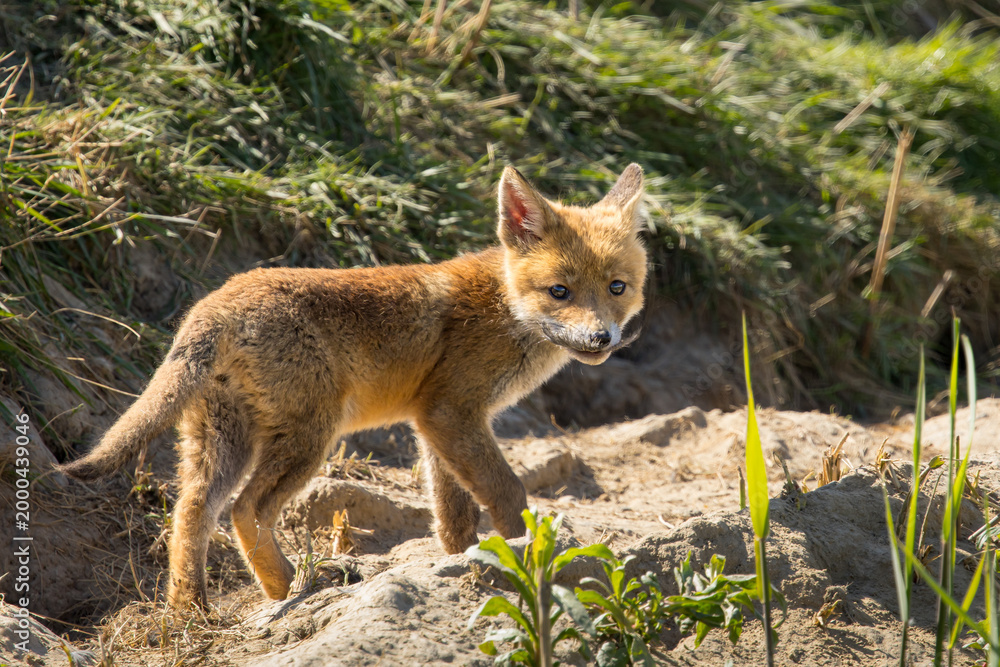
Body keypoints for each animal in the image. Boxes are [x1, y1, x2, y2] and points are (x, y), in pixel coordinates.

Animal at [60, 164, 649, 609]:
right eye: (559, 291)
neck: (506, 308)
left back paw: (192, 612)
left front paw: (462, 561)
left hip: (223, 442)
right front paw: (521, 553)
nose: (601, 337)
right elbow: (507, 494)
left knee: (192, 513)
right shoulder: (450, 411)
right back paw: (289, 588)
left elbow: (453, 515)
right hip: (310, 438)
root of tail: (214, 303)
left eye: (617, 288)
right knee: (245, 509)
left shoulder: (436, 423)